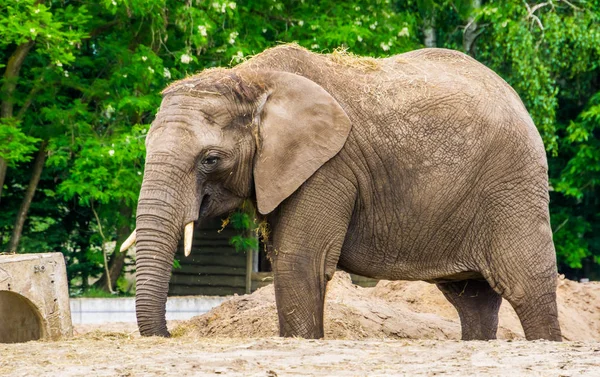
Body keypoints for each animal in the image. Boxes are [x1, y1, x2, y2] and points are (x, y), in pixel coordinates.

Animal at [122, 44, 564, 340]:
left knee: (525, 285)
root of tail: (516, 96)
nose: (168, 335)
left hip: (511, 181)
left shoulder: (329, 167)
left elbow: (300, 261)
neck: (251, 79)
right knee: (472, 298)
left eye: (210, 159)